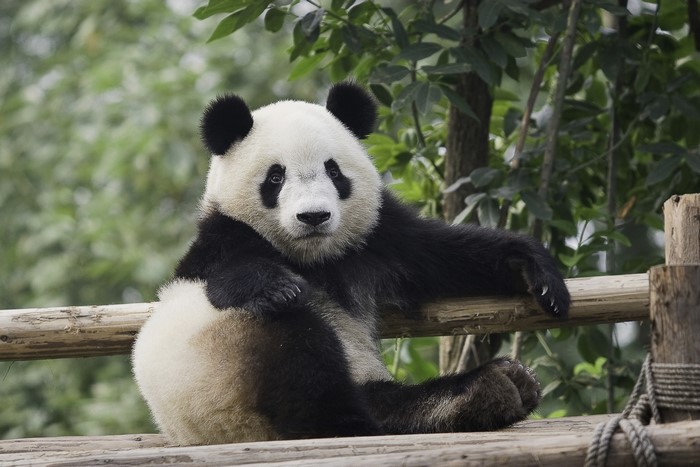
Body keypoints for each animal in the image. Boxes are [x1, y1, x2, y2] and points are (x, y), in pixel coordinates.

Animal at [132, 82, 571, 445]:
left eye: (333, 170)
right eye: (275, 177)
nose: (313, 216)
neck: (312, 258)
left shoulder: (377, 238)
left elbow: (444, 255)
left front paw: (538, 274)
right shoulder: (222, 240)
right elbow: (229, 278)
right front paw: (280, 287)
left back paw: (491, 389)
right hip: (227, 371)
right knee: (304, 366)